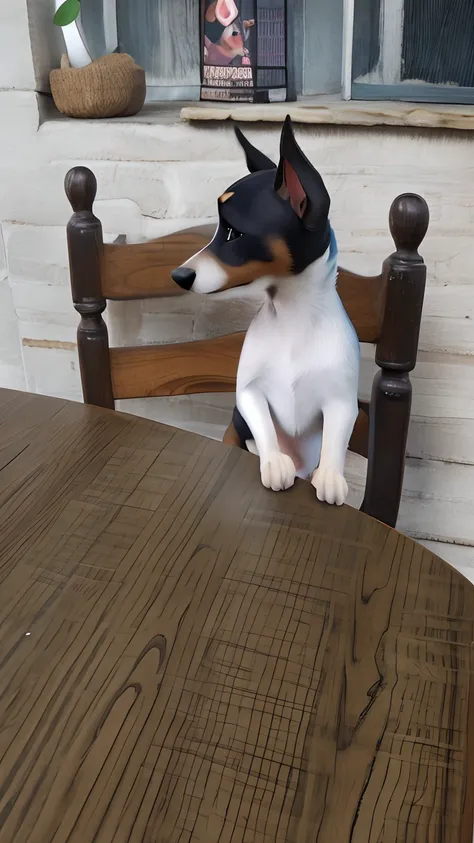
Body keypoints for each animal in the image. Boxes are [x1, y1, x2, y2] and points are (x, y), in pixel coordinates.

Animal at [170, 115, 360, 504]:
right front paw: (274, 462)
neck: (292, 319)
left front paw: (331, 477)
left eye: (233, 234)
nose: (178, 275)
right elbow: (261, 421)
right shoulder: (249, 393)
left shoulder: (342, 402)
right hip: (234, 430)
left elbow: (336, 438)